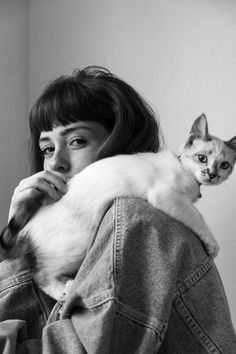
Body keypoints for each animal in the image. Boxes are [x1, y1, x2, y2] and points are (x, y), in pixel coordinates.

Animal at [0, 112, 236, 298]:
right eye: (202, 158)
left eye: (225, 165)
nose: (212, 174)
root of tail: (32, 220)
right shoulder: (166, 196)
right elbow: (197, 217)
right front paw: (212, 245)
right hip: (79, 243)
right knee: (40, 275)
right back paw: (65, 290)